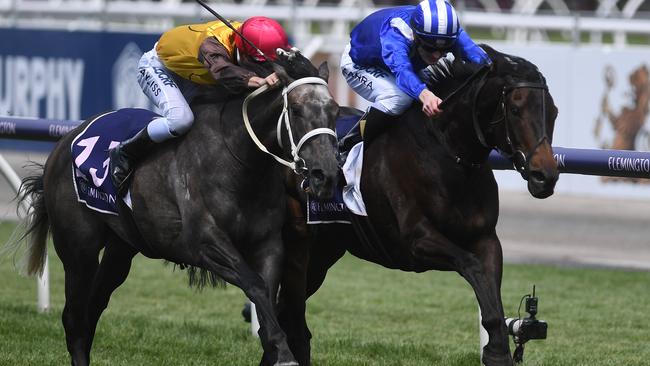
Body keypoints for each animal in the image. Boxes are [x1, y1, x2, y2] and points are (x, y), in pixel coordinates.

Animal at [15, 49, 340, 366]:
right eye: (295, 110)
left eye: (335, 111)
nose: (326, 174)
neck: (238, 159)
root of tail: (64, 142)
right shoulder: (206, 244)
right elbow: (255, 285)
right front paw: (283, 354)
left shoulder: (268, 244)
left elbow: (268, 294)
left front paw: (275, 347)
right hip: (77, 248)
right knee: (74, 317)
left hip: (121, 248)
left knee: (93, 307)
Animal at [274, 45, 556, 366]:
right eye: (516, 109)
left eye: (554, 111)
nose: (545, 176)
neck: (446, 154)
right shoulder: (417, 241)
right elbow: (472, 266)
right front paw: (495, 350)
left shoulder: (486, 239)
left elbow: (490, 294)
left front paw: (497, 351)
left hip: (325, 251)